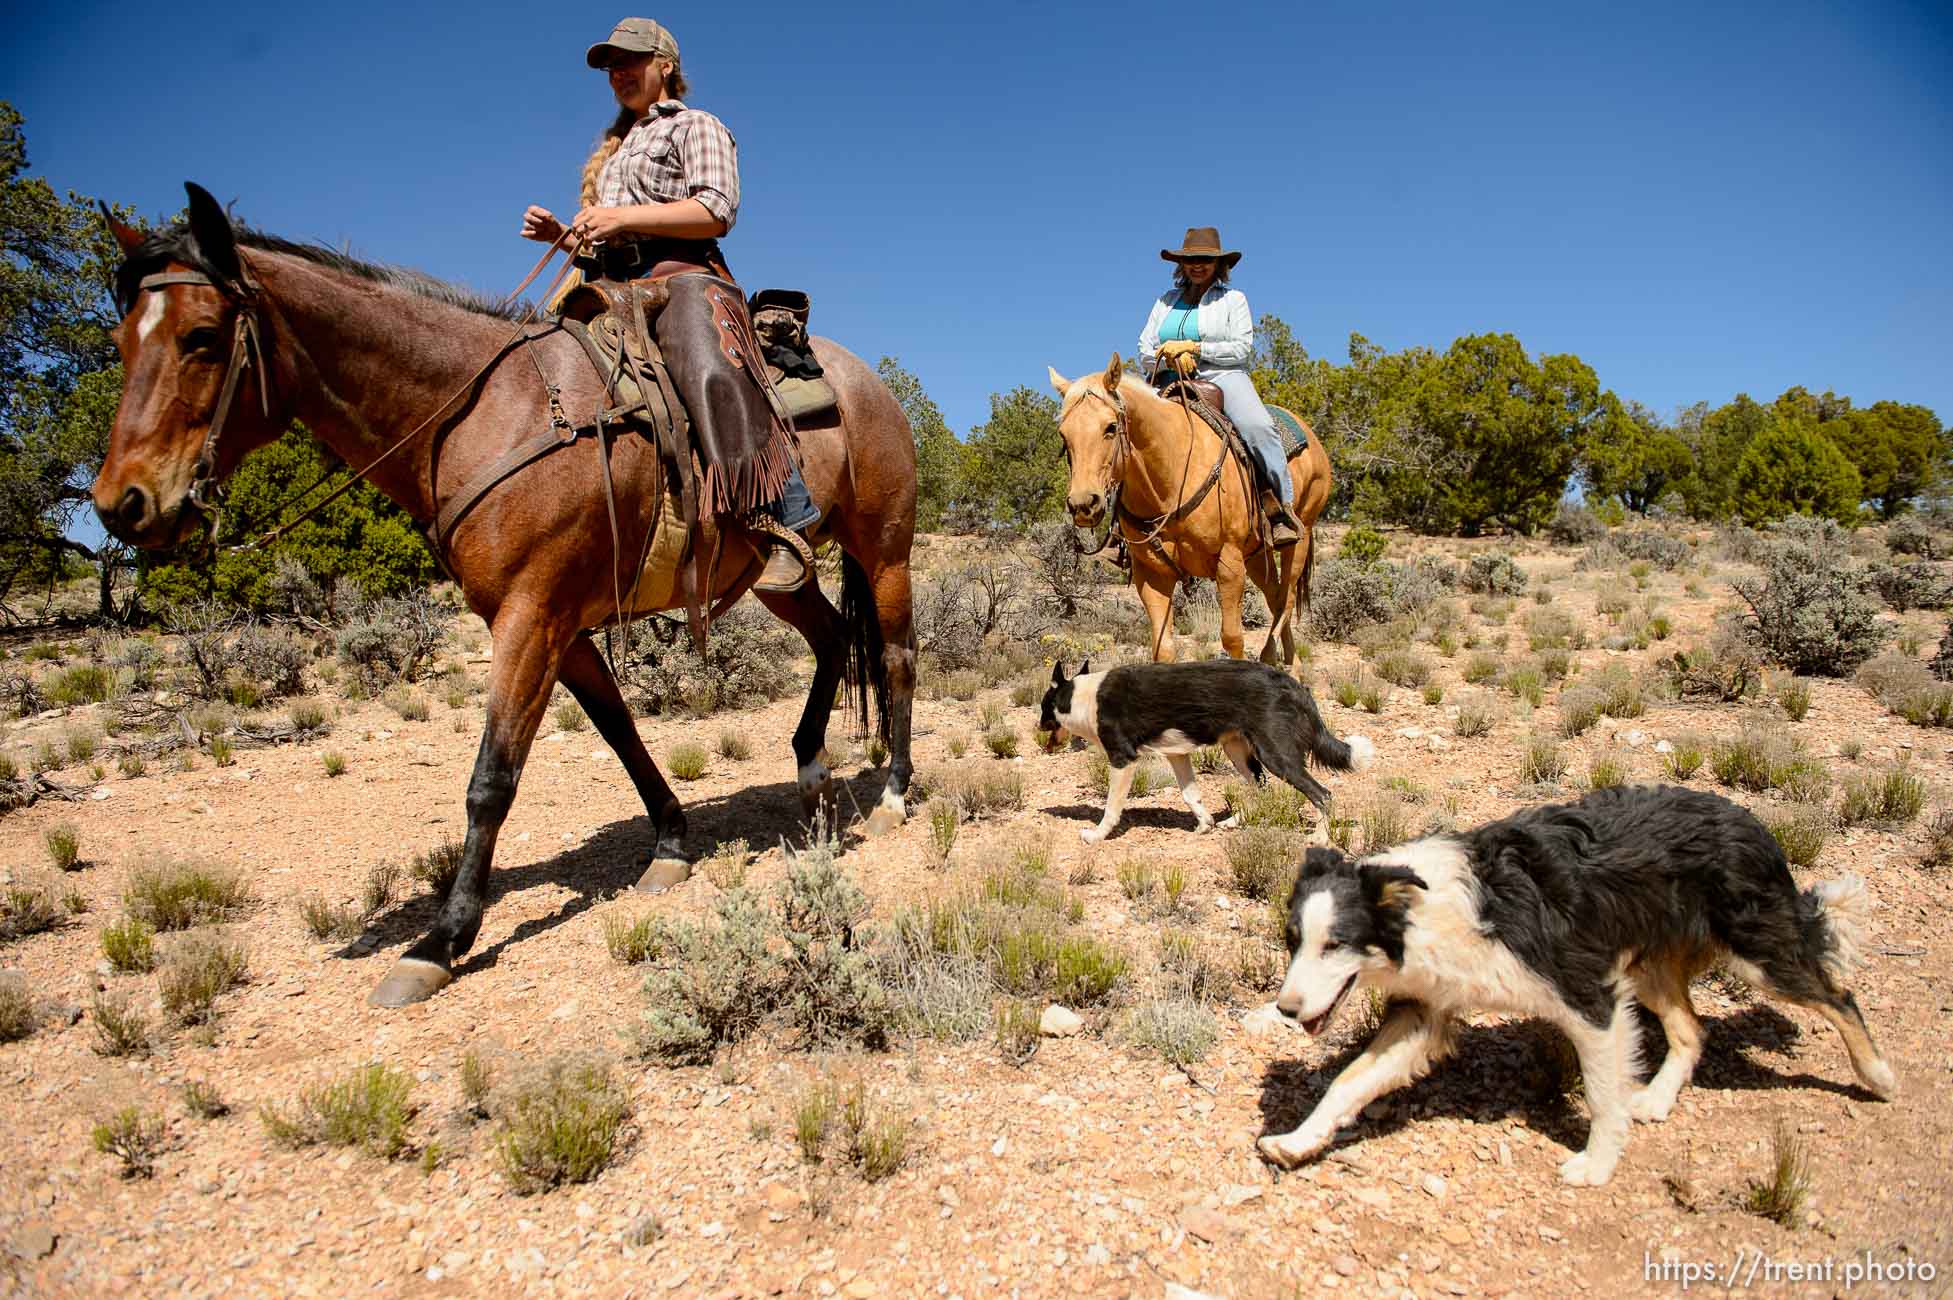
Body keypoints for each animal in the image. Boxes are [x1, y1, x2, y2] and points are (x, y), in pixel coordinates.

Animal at [89, 187, 914, 1007]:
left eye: (200, 337)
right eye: (123, 341)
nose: (122, 504)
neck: (487, 414)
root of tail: (867, 380)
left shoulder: (530, 617)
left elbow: (491, 779)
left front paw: (442, 939)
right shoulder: (559, 626)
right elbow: (620, 734)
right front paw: (671, 844)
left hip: (885, 552)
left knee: (897, 658)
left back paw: (895, 795)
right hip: (780, 581)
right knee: (832, 638)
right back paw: (810, 776)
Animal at [1046, 351, 1335, 663]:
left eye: (1110, 427)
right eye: (1063, 435)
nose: (1082, 503)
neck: (1169, 479)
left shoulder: (1229, 563)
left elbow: (1232, 638)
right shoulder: (1152, 574)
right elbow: (1163, 648)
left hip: (1299, 537)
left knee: (1286, 599)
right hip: (1257, 555)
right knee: (1275, 597)